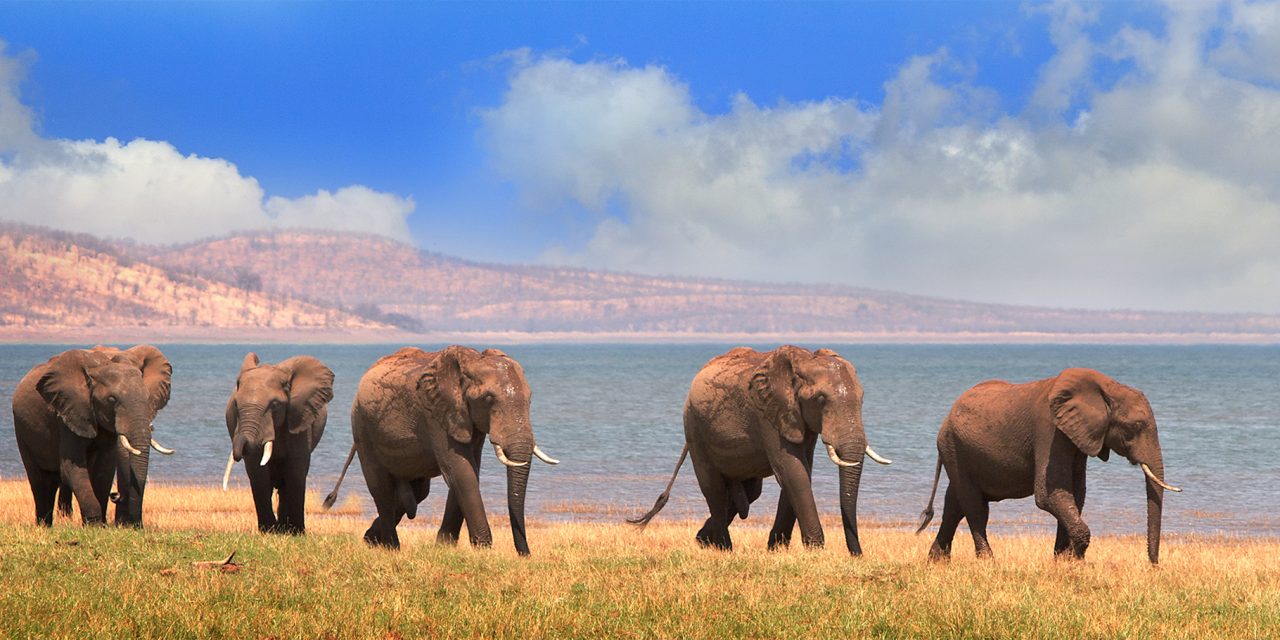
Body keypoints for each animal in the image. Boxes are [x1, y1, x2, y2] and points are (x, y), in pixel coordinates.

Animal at [12, 345, 174, 527]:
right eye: (112, 399)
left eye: (147, 397)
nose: (115, 495)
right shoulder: (68, 413)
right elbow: (71, 466)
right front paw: (94, 525)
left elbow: (105, 468)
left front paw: (101, 526)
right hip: (22, 430)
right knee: (39, 481)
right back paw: (44, 526)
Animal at [221, 353, 334, 534]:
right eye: (236, 405)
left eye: (275, 405)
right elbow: (257, 472)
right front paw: (268, 531)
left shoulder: (299, 417)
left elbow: (296, 470)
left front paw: (296, 533)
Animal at [323, 346, 559, 554]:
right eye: (488, 399)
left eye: (530, 399)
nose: (525, 554)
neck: (470, 361)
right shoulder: (434, 415)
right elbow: (460, 470)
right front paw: (483, 550)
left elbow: (470, 470)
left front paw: (444, 547)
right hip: (363, 429)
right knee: (381, 488)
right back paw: (391, 547)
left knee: (418, 492)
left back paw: (370, 540)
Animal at [630, 346, 892, 555]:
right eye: (820, 399)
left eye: (862, 399)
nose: (857, 554)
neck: (803, 360)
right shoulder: (767, 414)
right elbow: (792, 471)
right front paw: (816, 550)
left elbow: (802, 470)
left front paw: (777, 550)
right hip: (695, 430)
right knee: (713, 488)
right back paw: (724, 548)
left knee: (748, 493)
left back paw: (703, 541)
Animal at [917, 368, 1181, 564]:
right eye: (1134, 426)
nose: (1154, 565)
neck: (1106, 387)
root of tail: (947, 417)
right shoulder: (1049, 430)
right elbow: (1049, 494)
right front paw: (1077, 561)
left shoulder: (1077, 437)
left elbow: (1075, 494)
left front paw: (1064, 562)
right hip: (953, 447)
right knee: (974, 507)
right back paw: (988, 562)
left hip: (958, 451)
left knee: (954, 504)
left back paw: (936, 562)